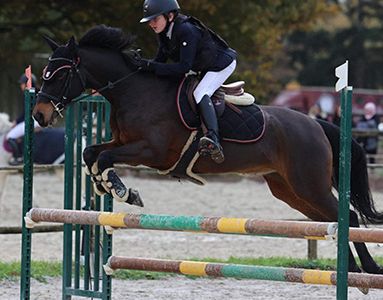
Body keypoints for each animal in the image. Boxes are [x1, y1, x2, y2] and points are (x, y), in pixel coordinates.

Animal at [32, 24, 383, 276]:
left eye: (59, 75)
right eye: (45, 73)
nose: (39, 115)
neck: (133, 90)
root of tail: (316, 124)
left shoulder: (151, 151)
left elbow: (103, 156)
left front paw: (121, 190)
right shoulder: (123, 143)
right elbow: (91, 153)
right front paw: (107, 185)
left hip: (309, 183)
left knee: (348, 216)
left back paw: (368, 269)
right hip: (290, 190)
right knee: (331, 221)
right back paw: (351, 269)